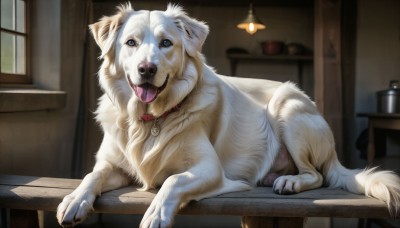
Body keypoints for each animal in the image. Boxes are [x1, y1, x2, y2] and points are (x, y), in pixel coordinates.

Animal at [57, 3, 400, 228]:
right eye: (131, 43)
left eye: (166, 43)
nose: (147, 69)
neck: (151, 120)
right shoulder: (112, 163)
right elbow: (92, 175)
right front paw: (75, 200)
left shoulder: (209, 169)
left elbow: (173, 181)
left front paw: (156, 213)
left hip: (287, 108)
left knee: (317, 174)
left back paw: (290, 180)